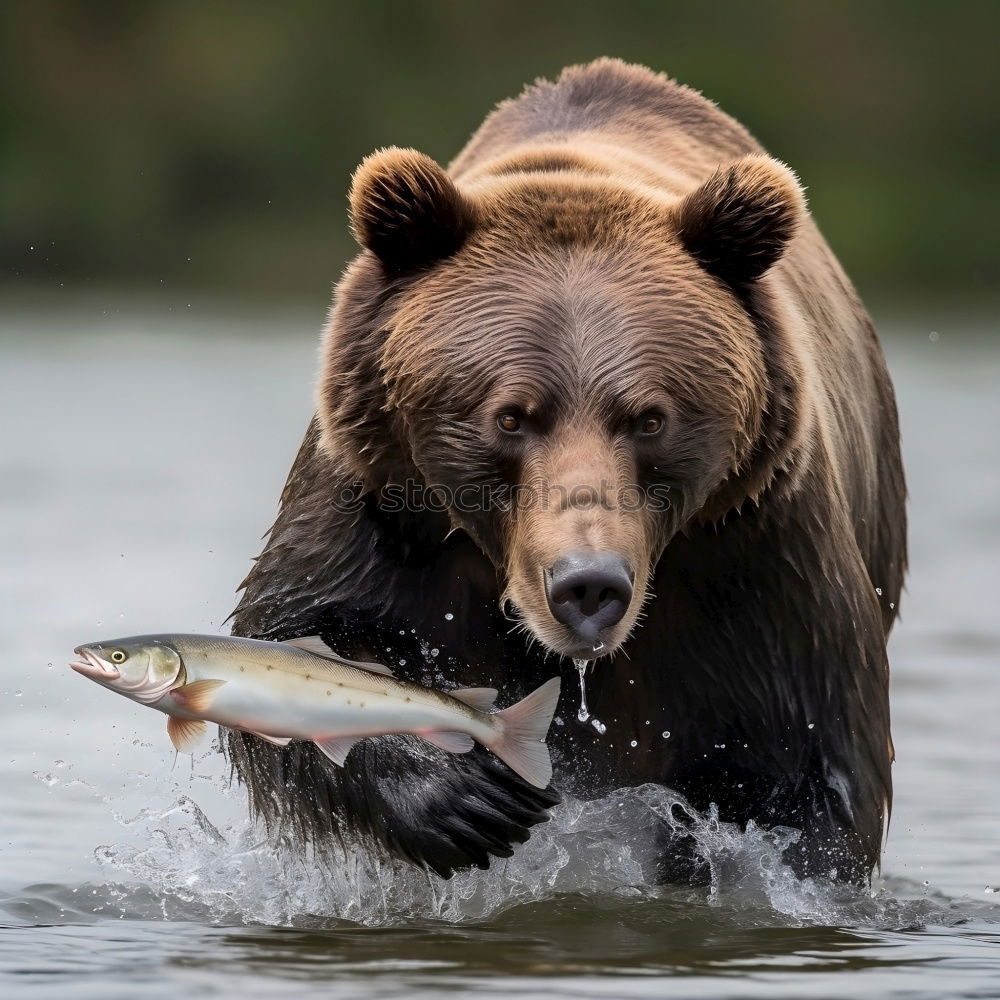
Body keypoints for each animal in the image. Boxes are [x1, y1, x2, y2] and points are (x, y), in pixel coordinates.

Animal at [227, 56, 908, 884]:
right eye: (511, 415)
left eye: (650, 417)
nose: (588, 585)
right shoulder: (382, 506)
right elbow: (303, 634)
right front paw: (469, 799)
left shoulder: (753, 555)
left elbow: (809, 764)